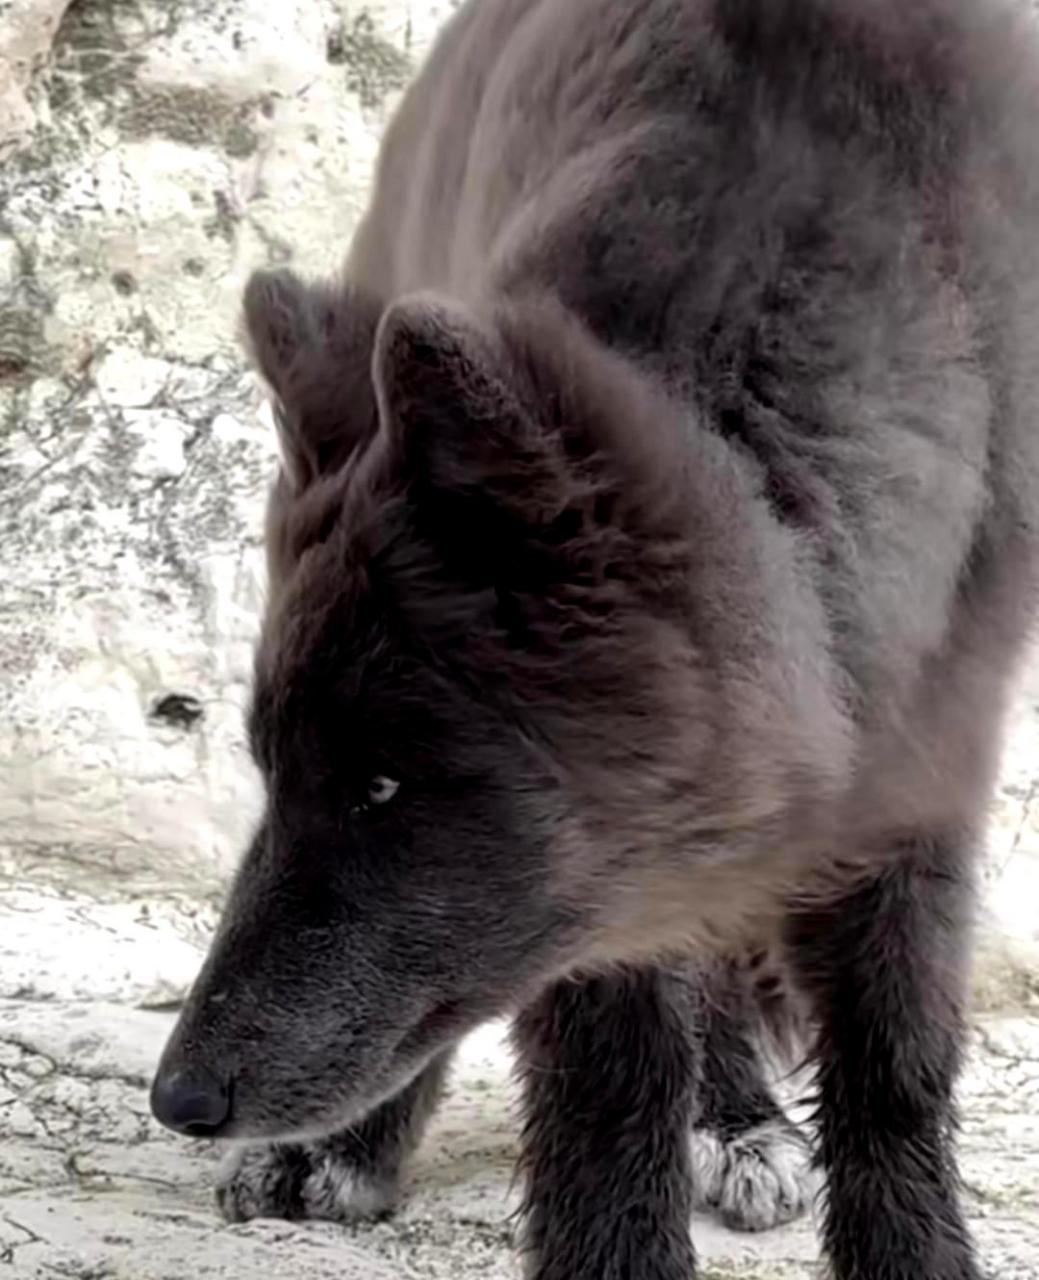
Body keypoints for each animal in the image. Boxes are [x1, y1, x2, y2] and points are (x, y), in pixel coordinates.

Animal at [152, 2, 1039, 1280]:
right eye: (279, 771)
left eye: (386, 786)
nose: (178, 1097)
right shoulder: (599, 885)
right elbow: (610, 1091)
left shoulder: (918, 775)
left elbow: (893, 1070)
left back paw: (736, 1114)